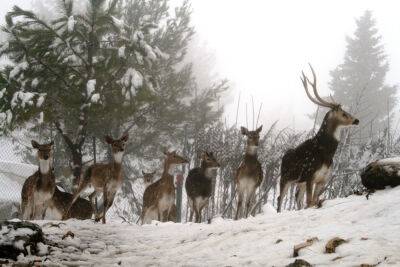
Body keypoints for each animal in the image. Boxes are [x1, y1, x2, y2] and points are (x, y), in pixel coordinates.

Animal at [278, 63, 360, 213]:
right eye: (343, 113)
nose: (356, 120)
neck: (325, 152)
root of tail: (283, 156)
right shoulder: (310, 174)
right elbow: (310, 202)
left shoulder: (323, 179)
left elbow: (313, 201)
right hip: (285, 177)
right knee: (280, 198)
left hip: (299, 182)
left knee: (297, 197)